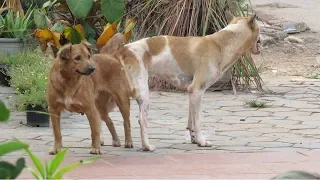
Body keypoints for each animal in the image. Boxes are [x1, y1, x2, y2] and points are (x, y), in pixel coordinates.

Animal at [111, 11, 262, 151]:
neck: (220, 44)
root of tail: (123, 50)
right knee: (142, 120)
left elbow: (191, 121)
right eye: (259, 30)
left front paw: (194, 139)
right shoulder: (197, 91)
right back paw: (147, 146)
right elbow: (198, 121)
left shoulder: (191, 93)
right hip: (143, 94)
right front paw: (202, 141)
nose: (262, 43)